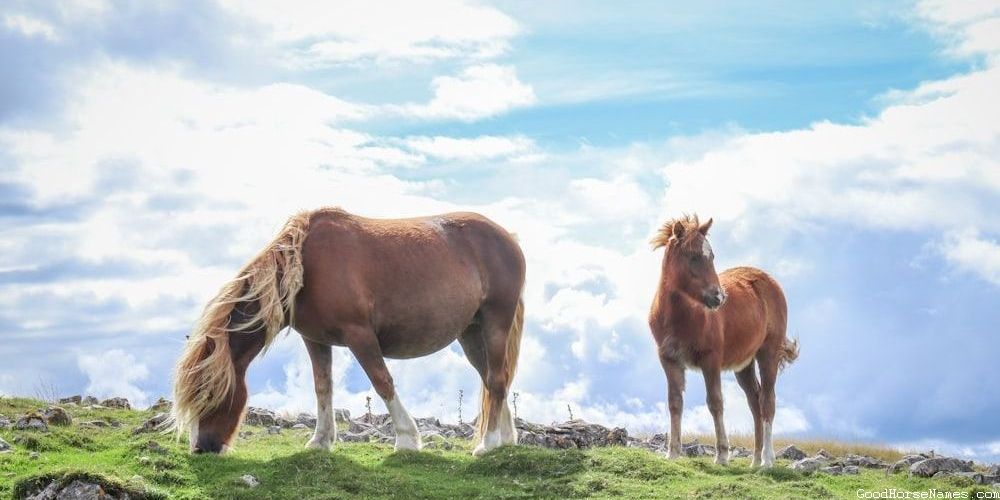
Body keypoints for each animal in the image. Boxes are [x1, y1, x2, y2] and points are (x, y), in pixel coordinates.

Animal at [172, 207, 525, 456]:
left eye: (208, 394)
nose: (201, 448)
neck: (306, 267)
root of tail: (508, 237)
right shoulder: (315, 340)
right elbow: (322, 388)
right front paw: (320, 441)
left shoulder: (360, 336)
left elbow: (382, 382)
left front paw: (407, 440)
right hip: (471, 333)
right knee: (494, 379)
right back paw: (505, 440)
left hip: (495, 322)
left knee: (496, 379)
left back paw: (487, 444)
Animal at [648, 215, 798, 467]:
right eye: (693, 256)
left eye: (712, 256)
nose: (718, 297)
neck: (680, 317)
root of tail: (771, 283)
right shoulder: (669, 360)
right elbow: (675, 402)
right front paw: (673, 452)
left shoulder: (711, 360)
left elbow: (715, 402)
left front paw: (722, 455)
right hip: (744, 365)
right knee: (755, 402)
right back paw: (755, 460)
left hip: (768, 353)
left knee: (767, 400)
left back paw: (767, 459)